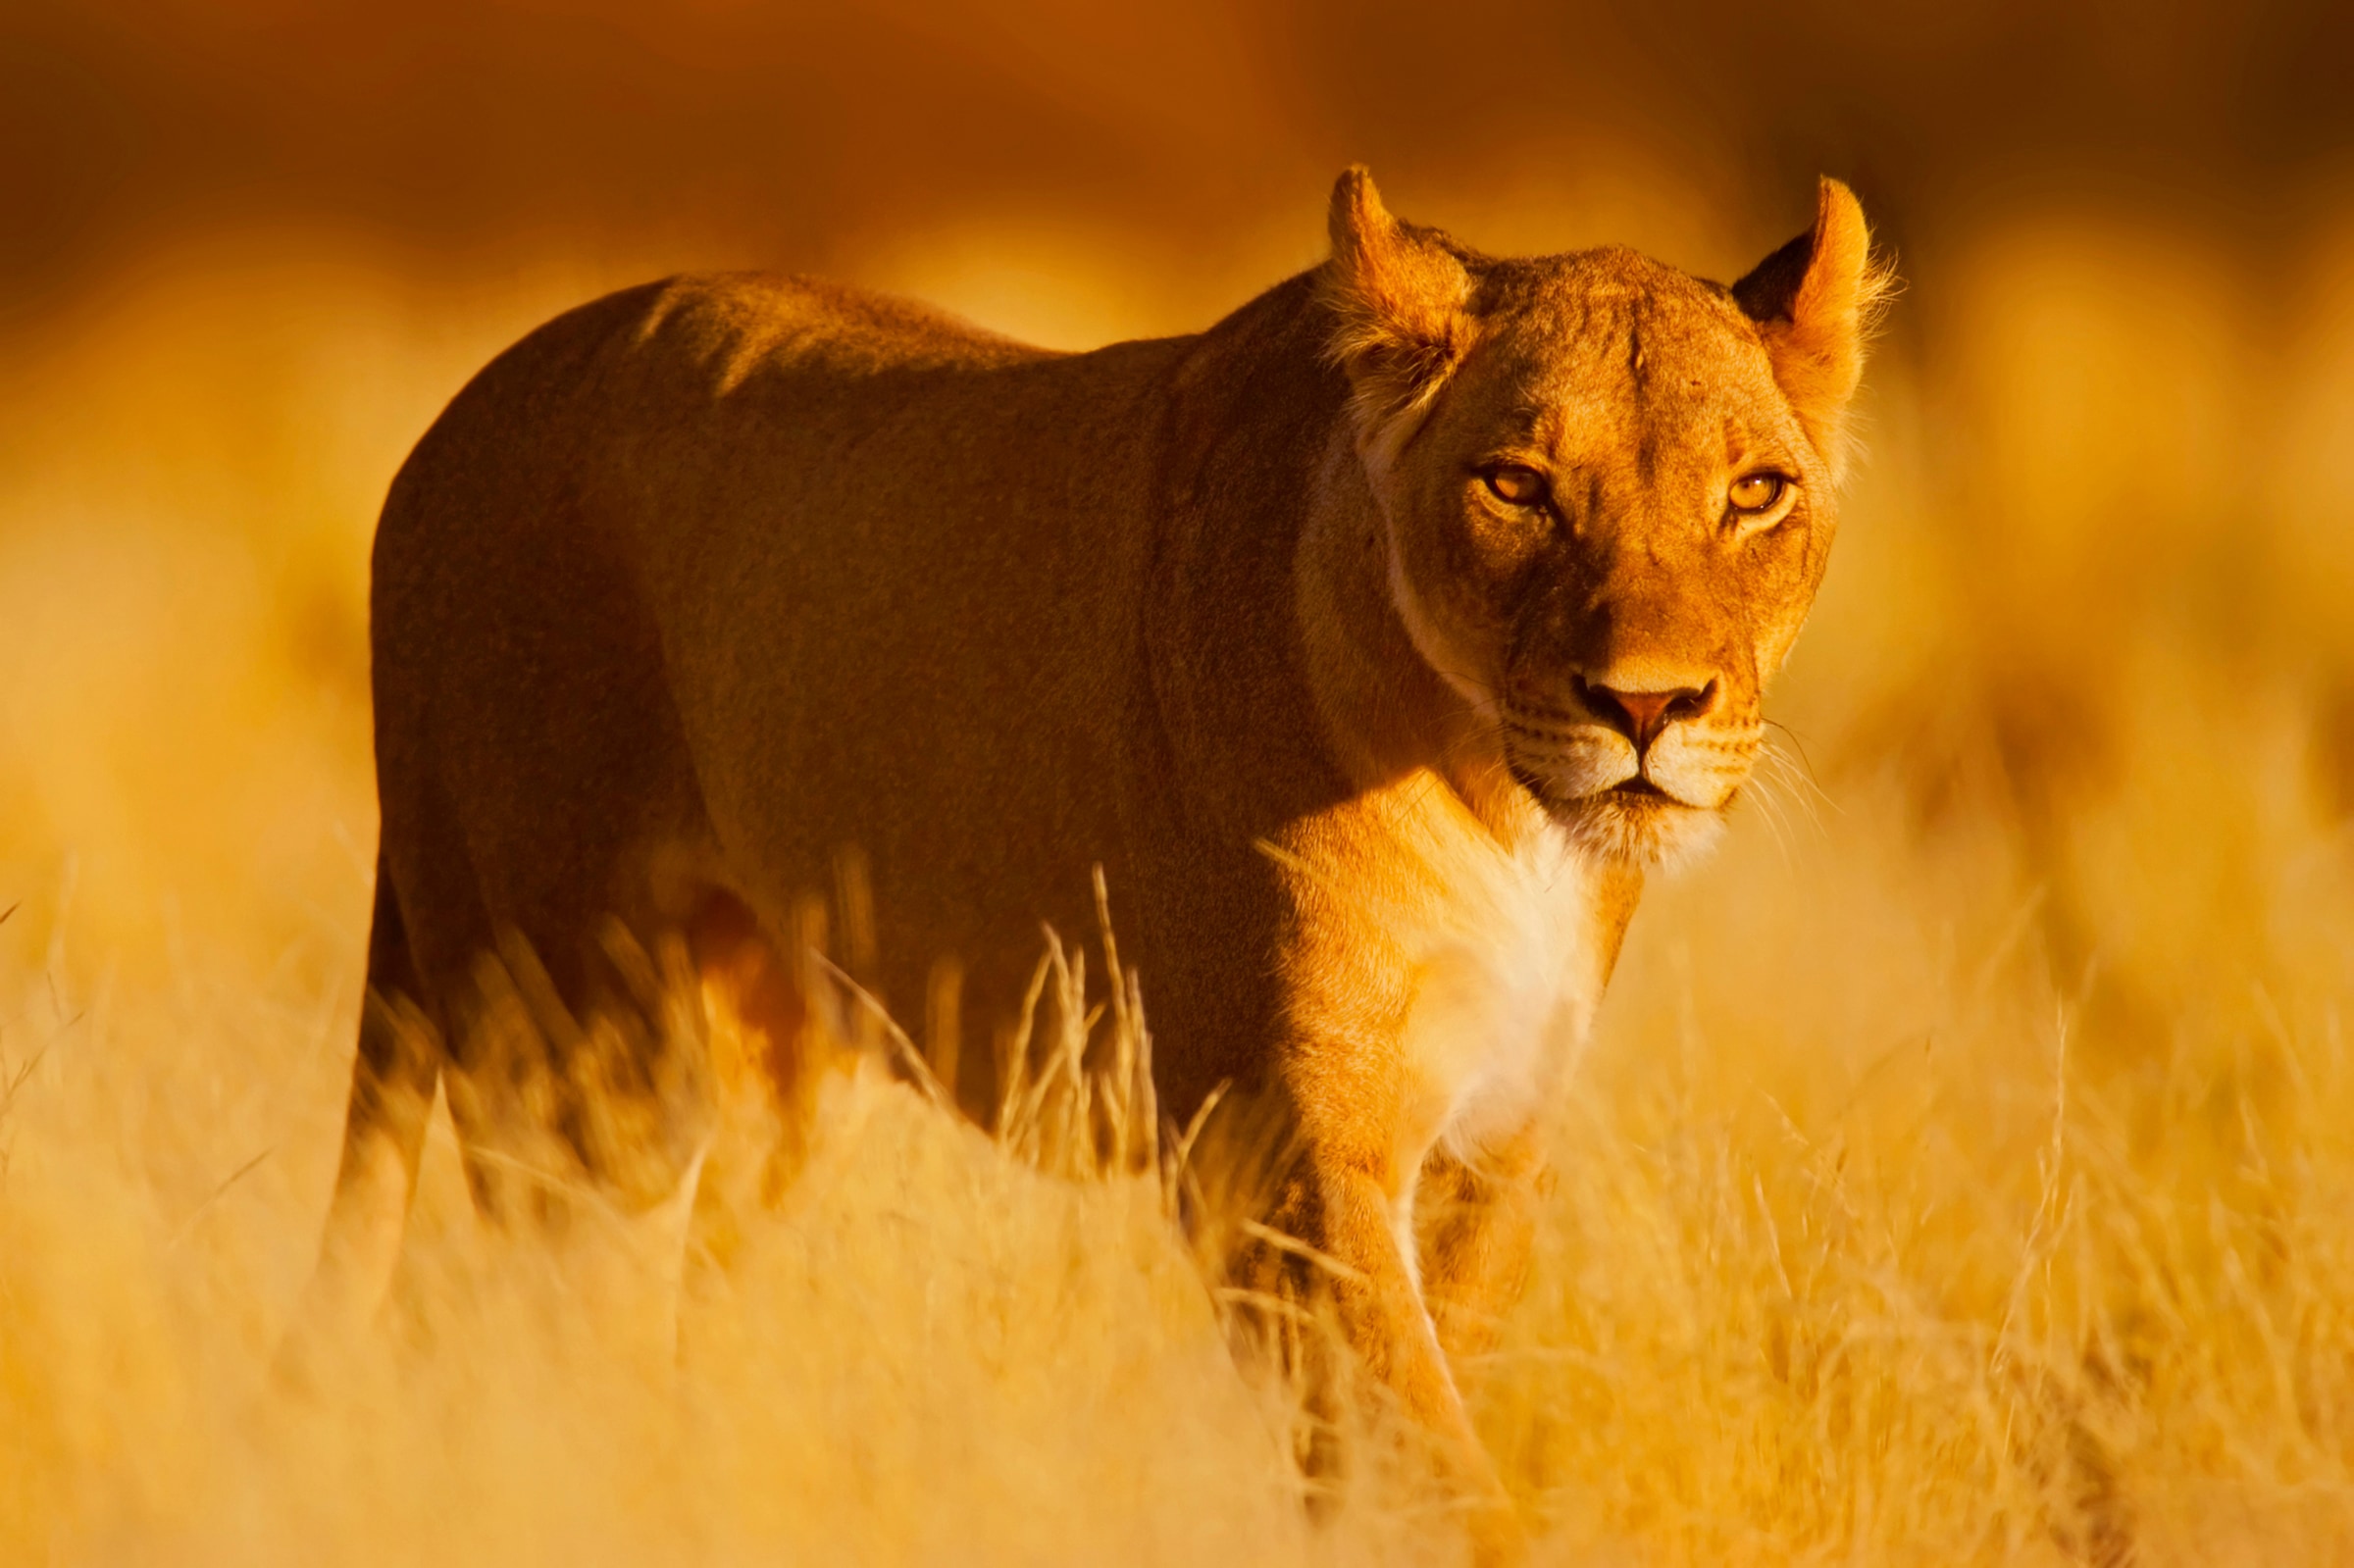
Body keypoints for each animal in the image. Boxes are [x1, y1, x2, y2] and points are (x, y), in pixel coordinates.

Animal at [296, 167, 1882, 1552]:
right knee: (534, 1333)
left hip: (759, 1080)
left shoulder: (1491, 1141)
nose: (1648, 706)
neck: (1501, 803)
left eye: (1754, 493)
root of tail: (448, 425)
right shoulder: (1278, 1137)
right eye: (1516, 484)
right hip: (581, 1058)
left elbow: (1402, 1434)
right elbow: (1418, 1453)